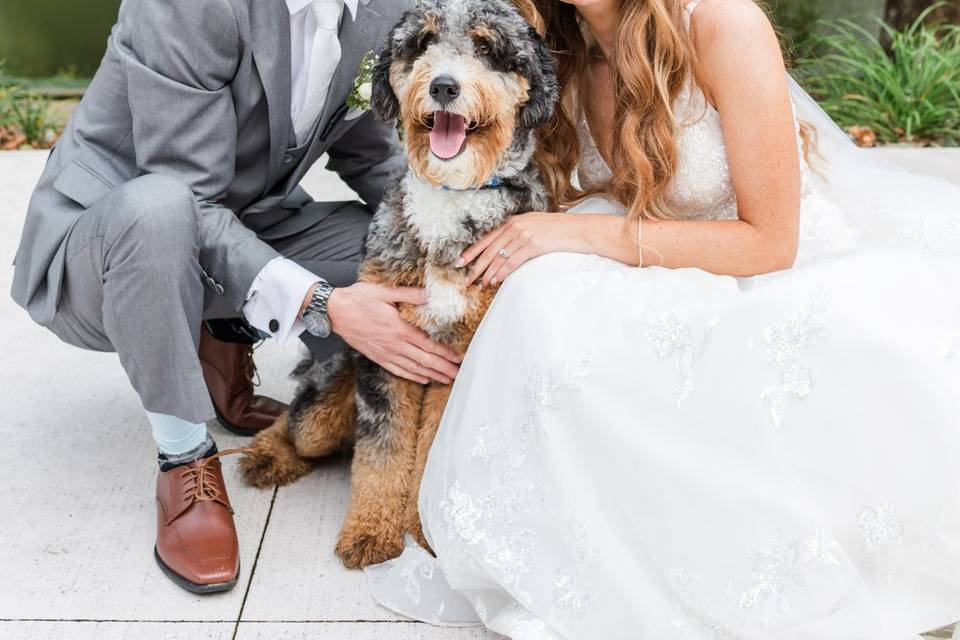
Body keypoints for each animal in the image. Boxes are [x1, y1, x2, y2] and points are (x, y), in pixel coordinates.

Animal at [236, 0, 560, 568]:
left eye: (486, 46)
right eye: (423, 42)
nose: (445, 86)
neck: (451, 195)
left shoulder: (460, 358)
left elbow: (431, 452)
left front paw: (426, 531)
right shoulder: (385, 354)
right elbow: (382, 450)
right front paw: (371, 532)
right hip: (329, 398)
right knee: (300, 423)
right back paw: (266, 453)